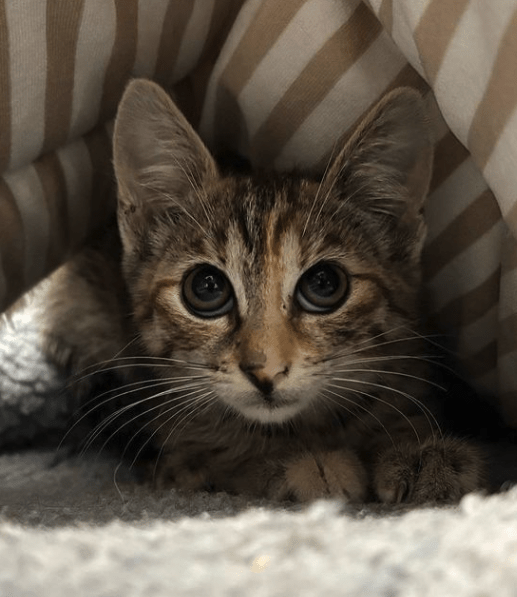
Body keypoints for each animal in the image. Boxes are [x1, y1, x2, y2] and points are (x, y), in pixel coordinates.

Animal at [42, 79, 486, 502]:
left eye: (324, 284)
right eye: (205, 288)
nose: (265, 372)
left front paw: (421, 453)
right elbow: (213, 447)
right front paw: (300, 464)